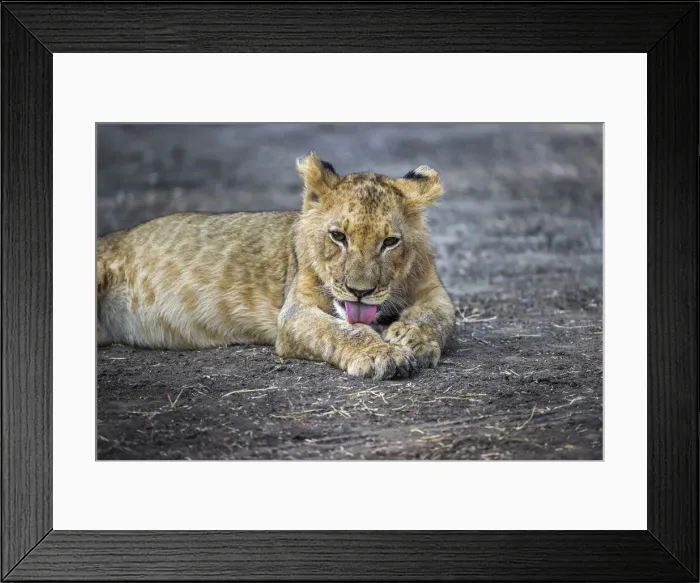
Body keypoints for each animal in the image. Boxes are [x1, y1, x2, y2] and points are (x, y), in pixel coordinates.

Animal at [97, 152, 456, 380]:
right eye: (338, 236)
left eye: (390, 242)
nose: (360, 292)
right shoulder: (294, 314)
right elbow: (342, 330)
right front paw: (382, 353)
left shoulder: (434, 291)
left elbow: (438, 316)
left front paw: (411, 338)